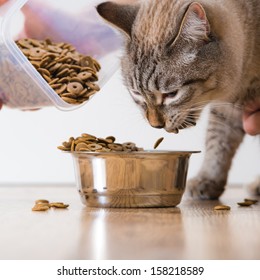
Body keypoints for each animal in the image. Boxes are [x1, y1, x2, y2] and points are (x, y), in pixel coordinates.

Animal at [97, 0, 260, 199]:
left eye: (171, 94)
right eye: (137, 93)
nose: (155, 125)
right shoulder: (226, 109)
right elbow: (217, 144)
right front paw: (207, 180)